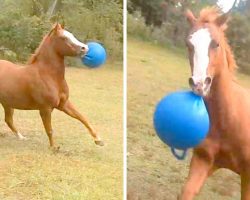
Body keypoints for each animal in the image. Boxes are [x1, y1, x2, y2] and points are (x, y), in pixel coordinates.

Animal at [179, 7, 250, 199]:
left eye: (216, 44)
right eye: (189, 44)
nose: (199, 85)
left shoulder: (248, 176)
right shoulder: (203, 160)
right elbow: (186, 192)